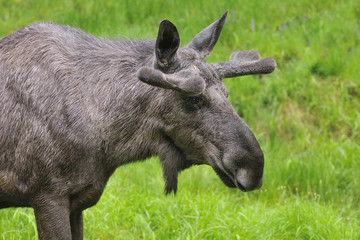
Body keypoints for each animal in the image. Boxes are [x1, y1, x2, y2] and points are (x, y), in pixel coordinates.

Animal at [0, 11, 276, 240]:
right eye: (192, 98)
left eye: (226, 93)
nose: (253, 167)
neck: (108, 143)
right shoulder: (48, 196)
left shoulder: (77, 202)